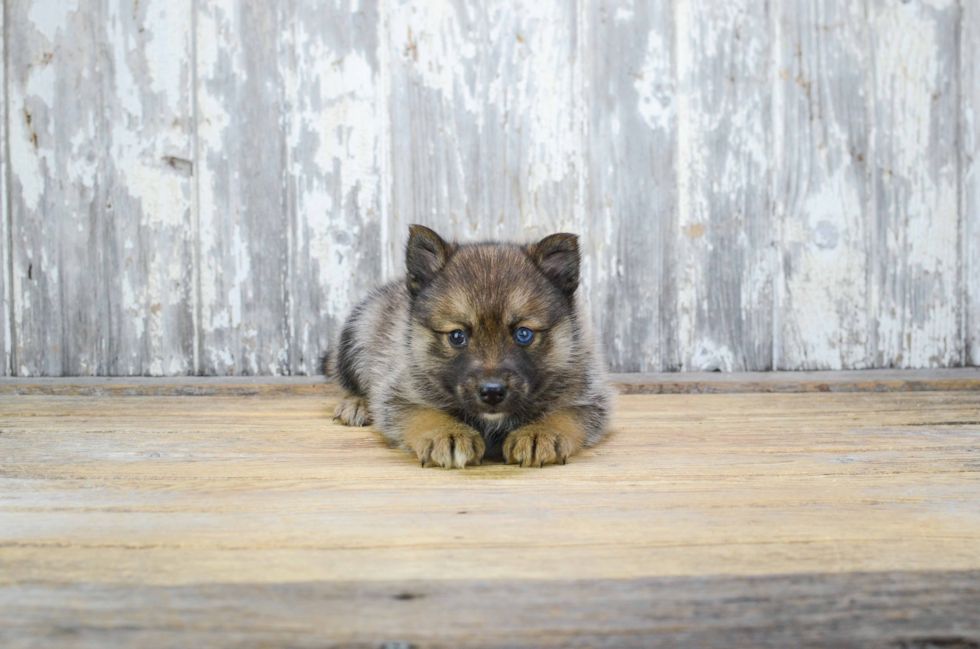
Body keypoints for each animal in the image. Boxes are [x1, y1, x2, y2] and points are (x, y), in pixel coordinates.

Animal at [328, 225, 612, 468]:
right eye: (457, 336)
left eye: (523, 334)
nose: (493, 392)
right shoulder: (401, 394)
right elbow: (424, 413)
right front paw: (447, 434)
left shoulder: (589, 397)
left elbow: (564, 413)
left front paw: (539, 433)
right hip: (357, 335)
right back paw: (357, 405)